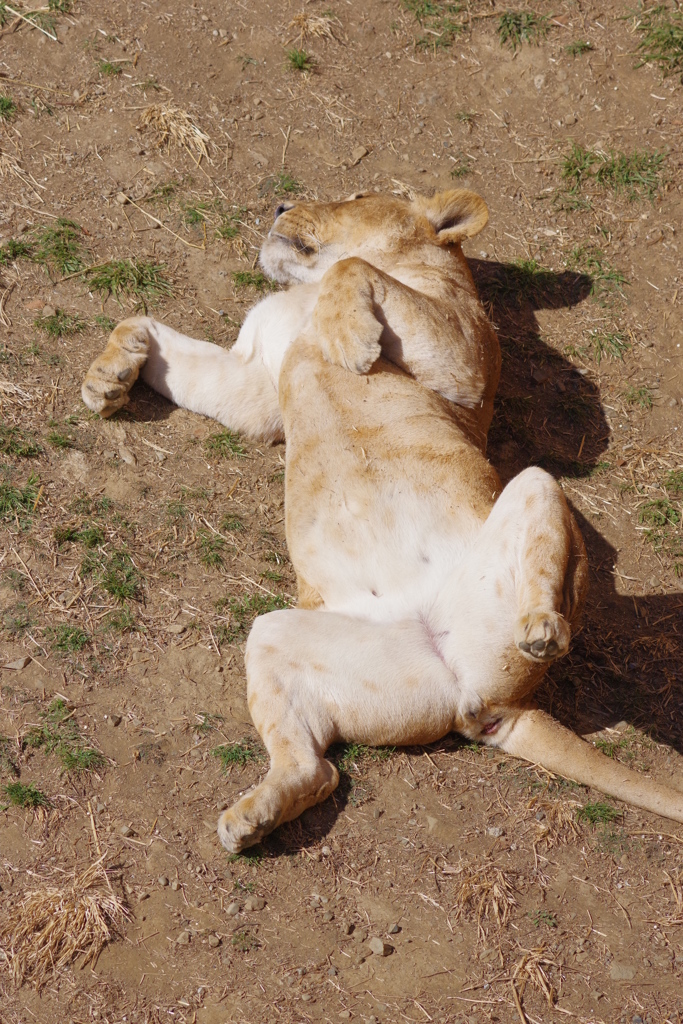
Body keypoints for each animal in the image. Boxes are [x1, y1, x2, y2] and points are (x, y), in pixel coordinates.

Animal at [81, 190, 683, 847]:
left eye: (353, 196)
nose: (280, 204)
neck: (304, 292)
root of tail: (492, 703)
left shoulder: (464, 355)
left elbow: (354, 269)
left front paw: (350, 340)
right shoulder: (257, 385)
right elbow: (142, 322)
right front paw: (109, 377)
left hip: (534, 483)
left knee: (549, 572)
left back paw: (542, 628)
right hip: (277, 636)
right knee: (316, 772)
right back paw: (253, 816)